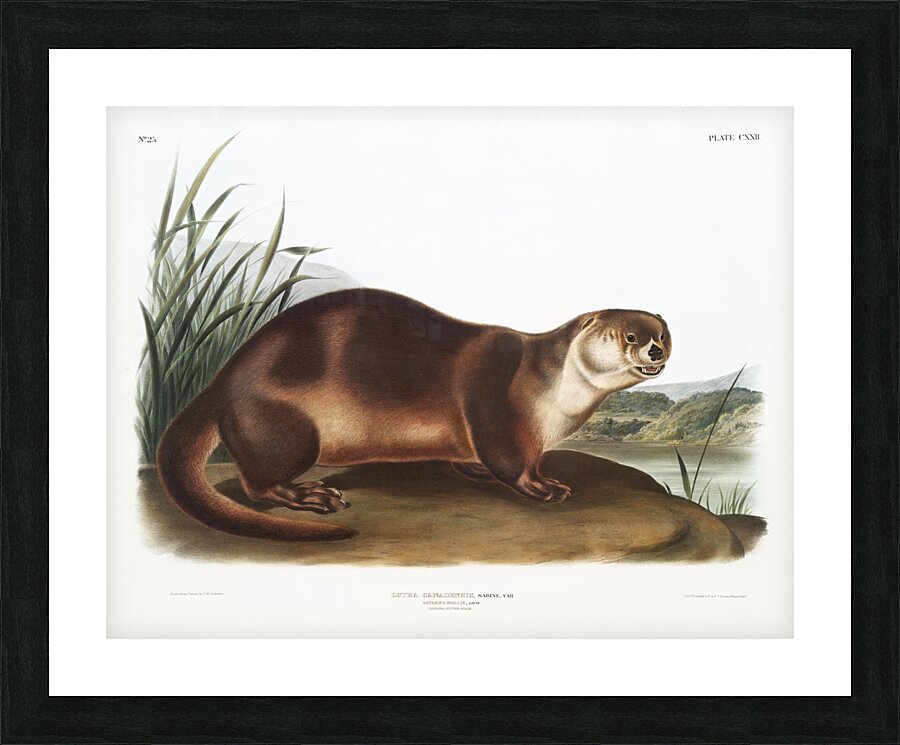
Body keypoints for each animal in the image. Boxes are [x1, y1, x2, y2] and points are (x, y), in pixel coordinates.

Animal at [157, 288, 671, 541]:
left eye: (663, 334)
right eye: (628, 335)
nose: (655, 350)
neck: (553, 392)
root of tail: (222, 380)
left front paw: (472, 470)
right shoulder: (495, 400)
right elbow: (508, 458)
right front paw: (543, 486)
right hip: (285, 425)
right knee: (257, 481)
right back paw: (309, 495)